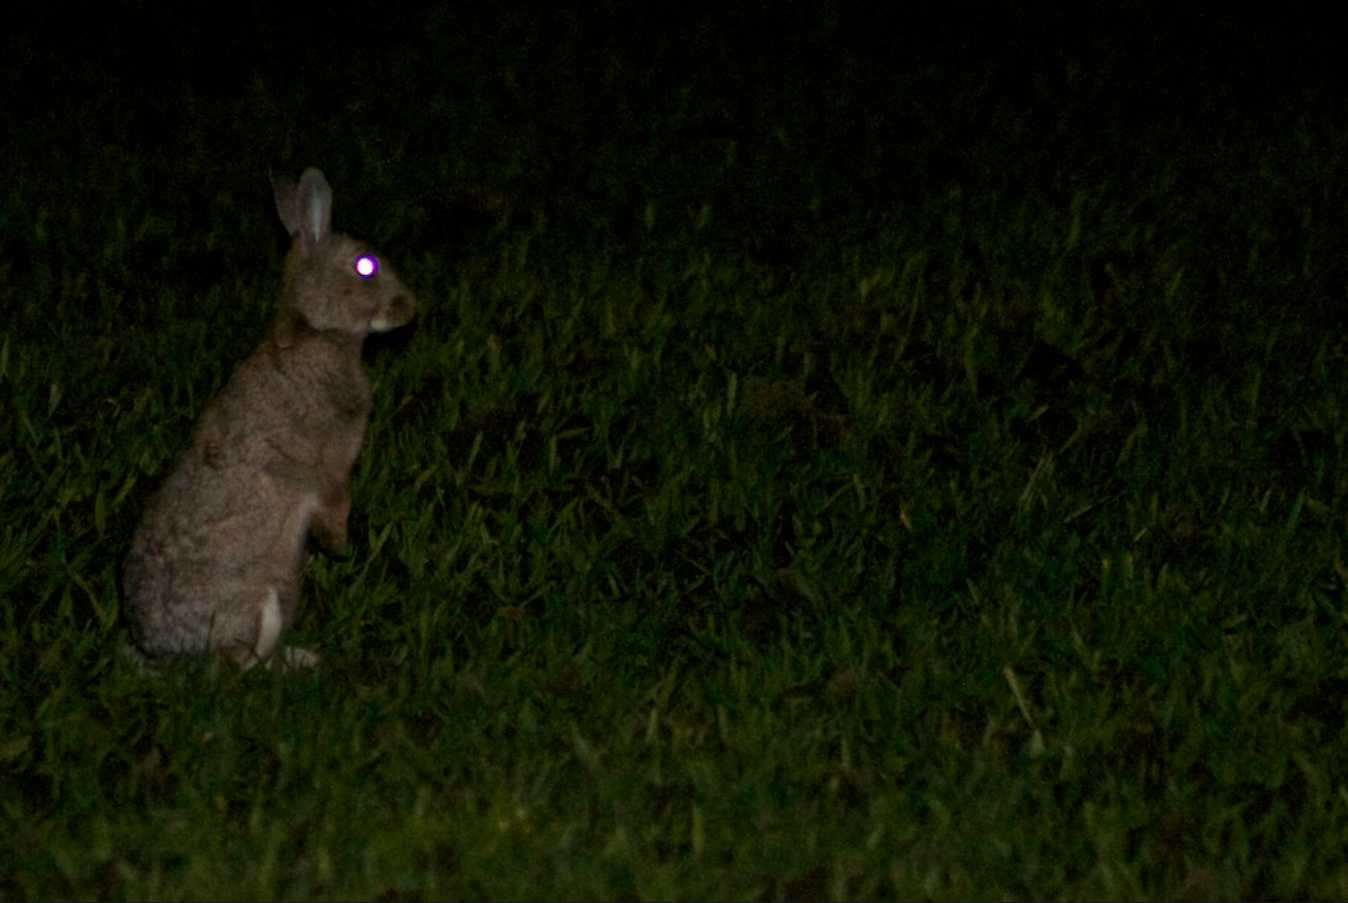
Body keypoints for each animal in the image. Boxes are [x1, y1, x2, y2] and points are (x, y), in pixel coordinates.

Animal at [122, 166, 415, 668]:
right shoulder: (332, 464)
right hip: (260, 603)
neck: (317, 335)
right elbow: (333, 501)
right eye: (365, 267)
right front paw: (339, 546)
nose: (409, 307)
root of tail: (158, 649)